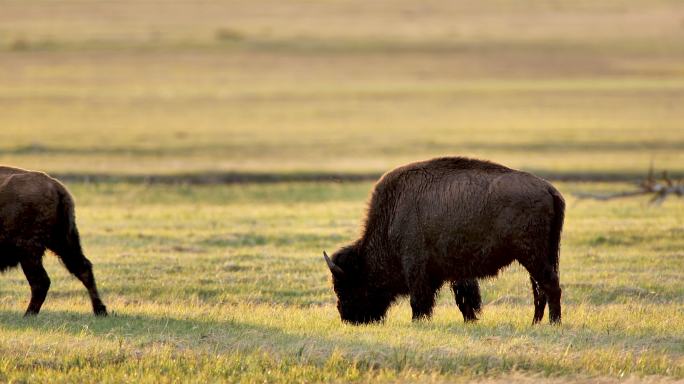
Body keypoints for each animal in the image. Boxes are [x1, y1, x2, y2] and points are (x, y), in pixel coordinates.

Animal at [0, 166, 107, 316]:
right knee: (83, 268)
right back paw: (100, 310)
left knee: (41, 281)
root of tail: (57, 187)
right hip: (63, 242)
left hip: (29, 251)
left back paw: (28, 315)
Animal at [324, 158, 564, 326]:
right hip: (538, 256)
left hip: (531, 255)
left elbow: (419, 300)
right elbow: (464, 299)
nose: (347, 317)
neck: (392, 215)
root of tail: (549, 189)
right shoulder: (455, 273)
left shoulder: (416, 267)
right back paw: (535, 323)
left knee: (549, 285)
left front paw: (418, 322)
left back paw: (553, 323)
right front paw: (470, 320)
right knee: (539, 289)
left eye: (346, 286)